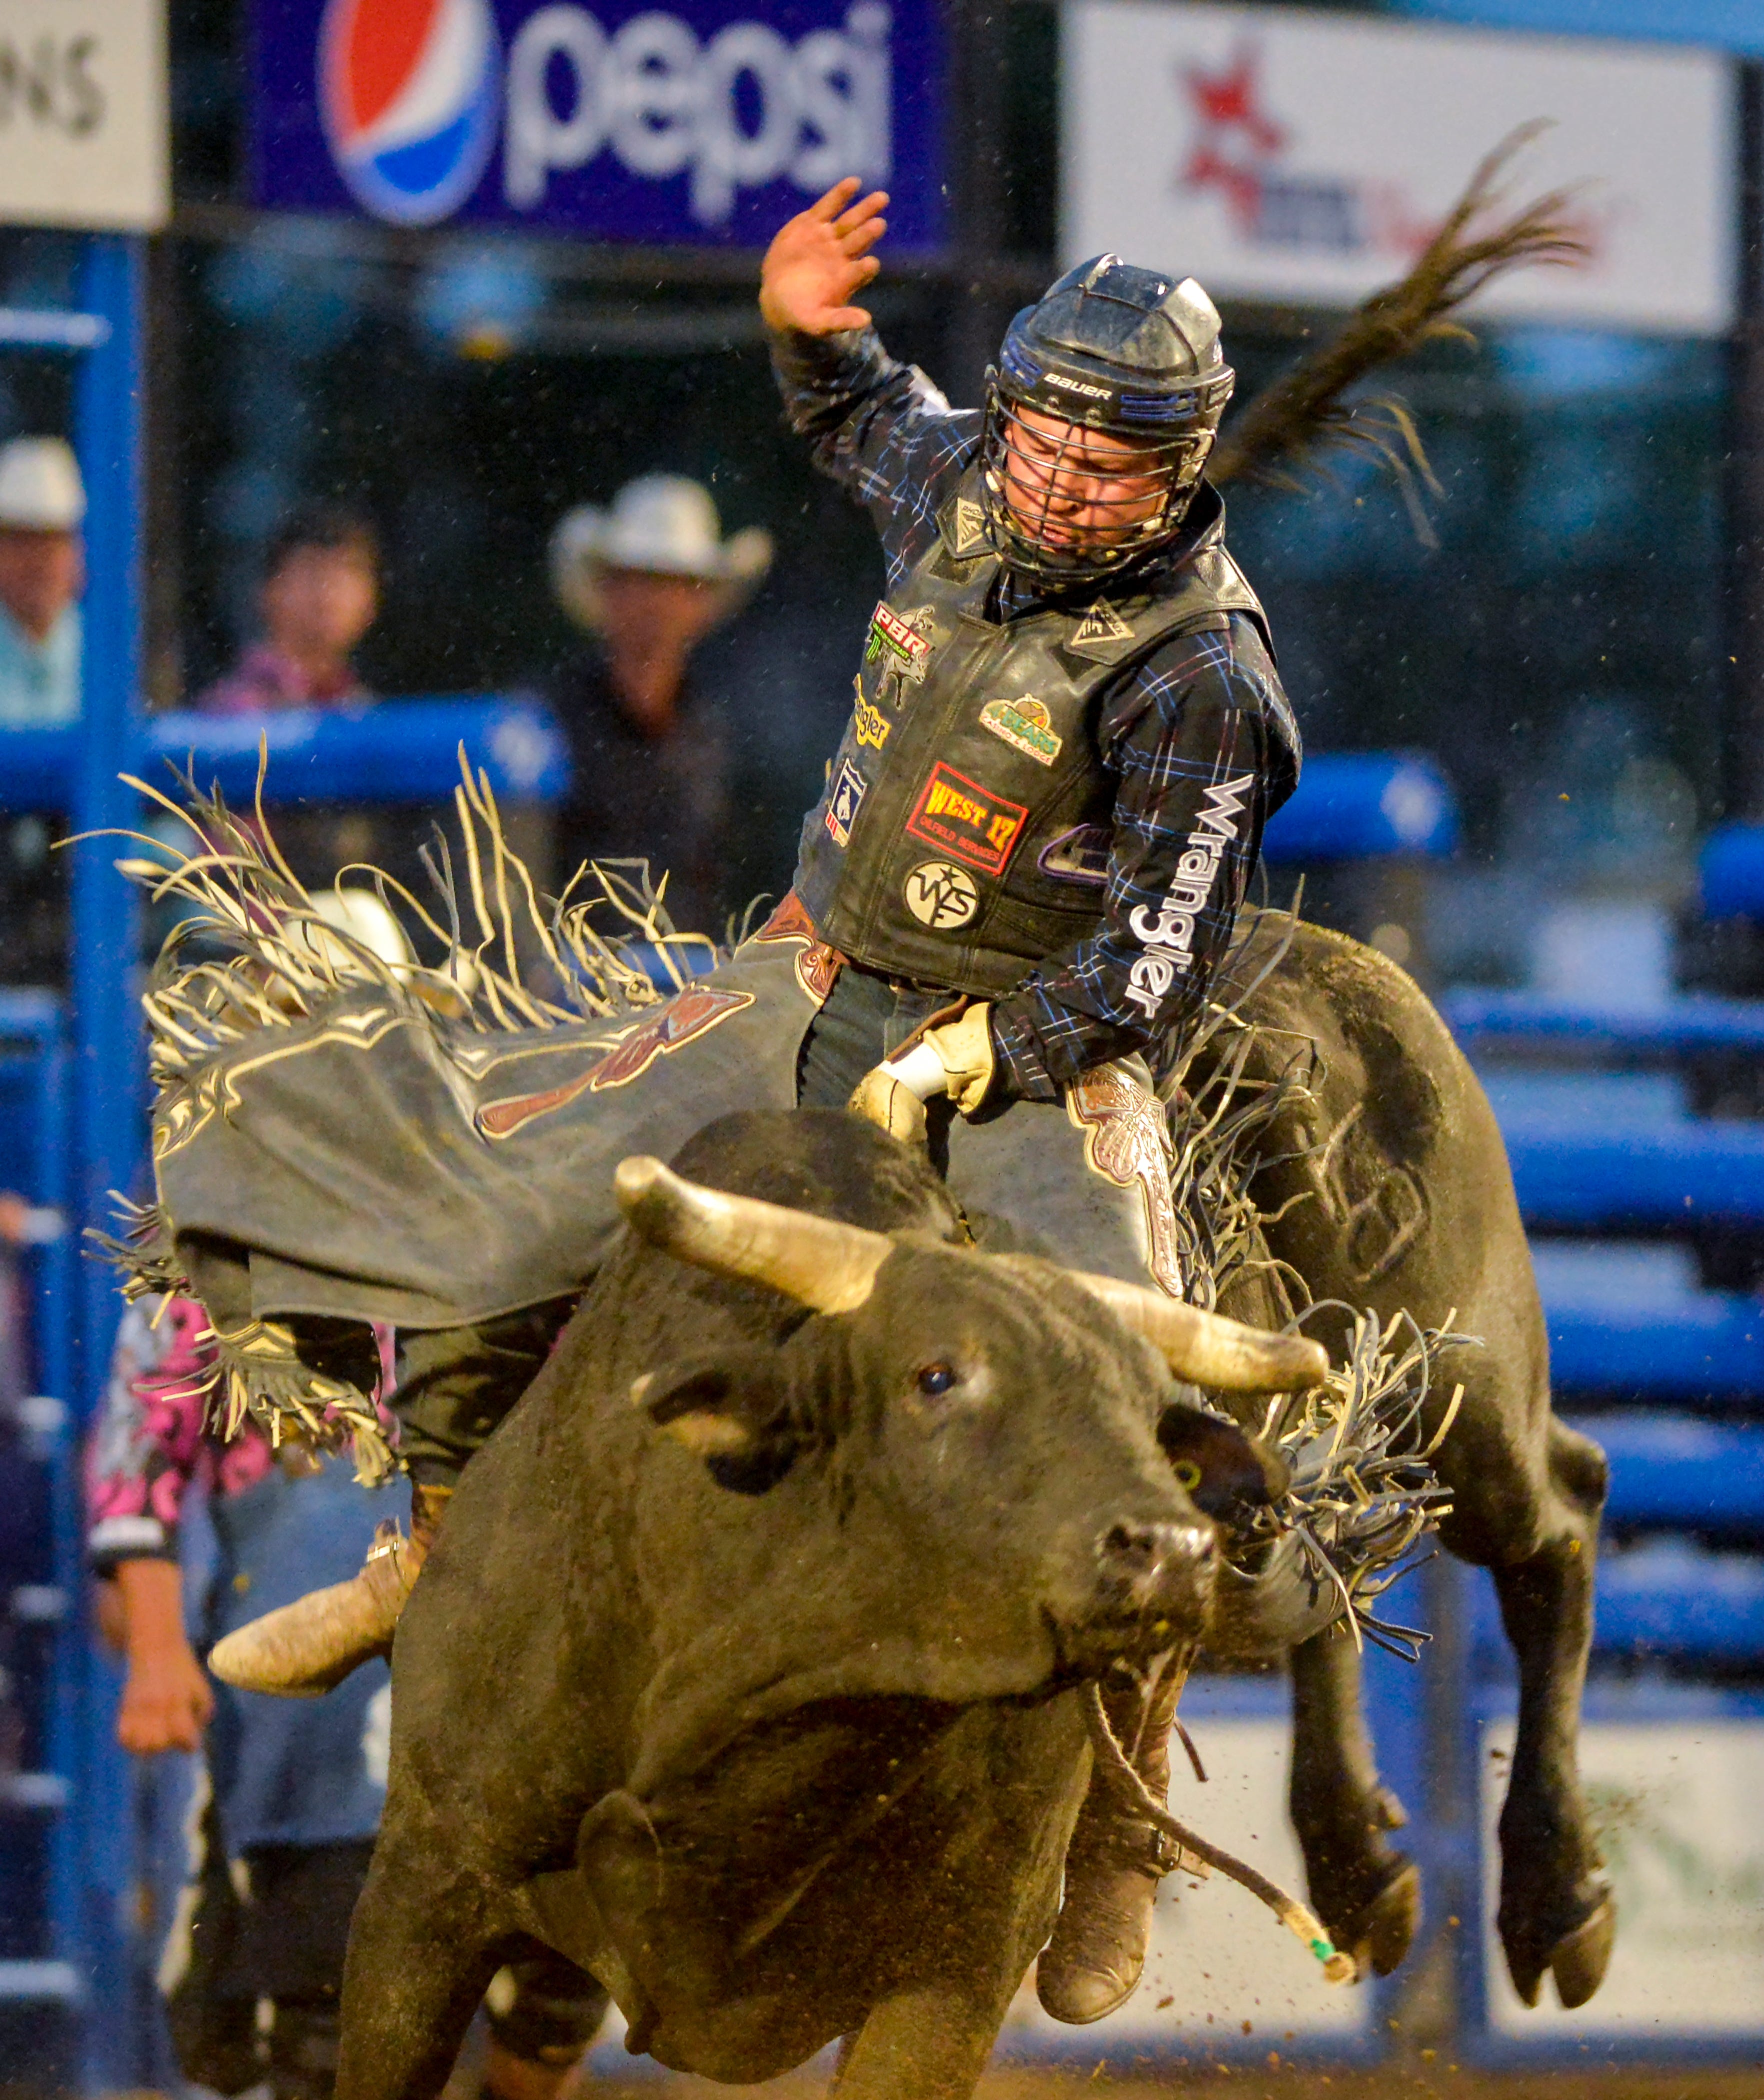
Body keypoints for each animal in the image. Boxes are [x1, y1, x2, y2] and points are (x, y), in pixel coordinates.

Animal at [340, 920, 1613, 2100]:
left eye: (1147, 1406)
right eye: (936, 1375)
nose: (1167, 1549)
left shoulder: (957, 1968)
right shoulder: (423, 1892)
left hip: (1465, 1391)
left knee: (1561, 1513)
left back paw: (1558, 1901)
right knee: (1335, 1575)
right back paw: (1359, 1865)